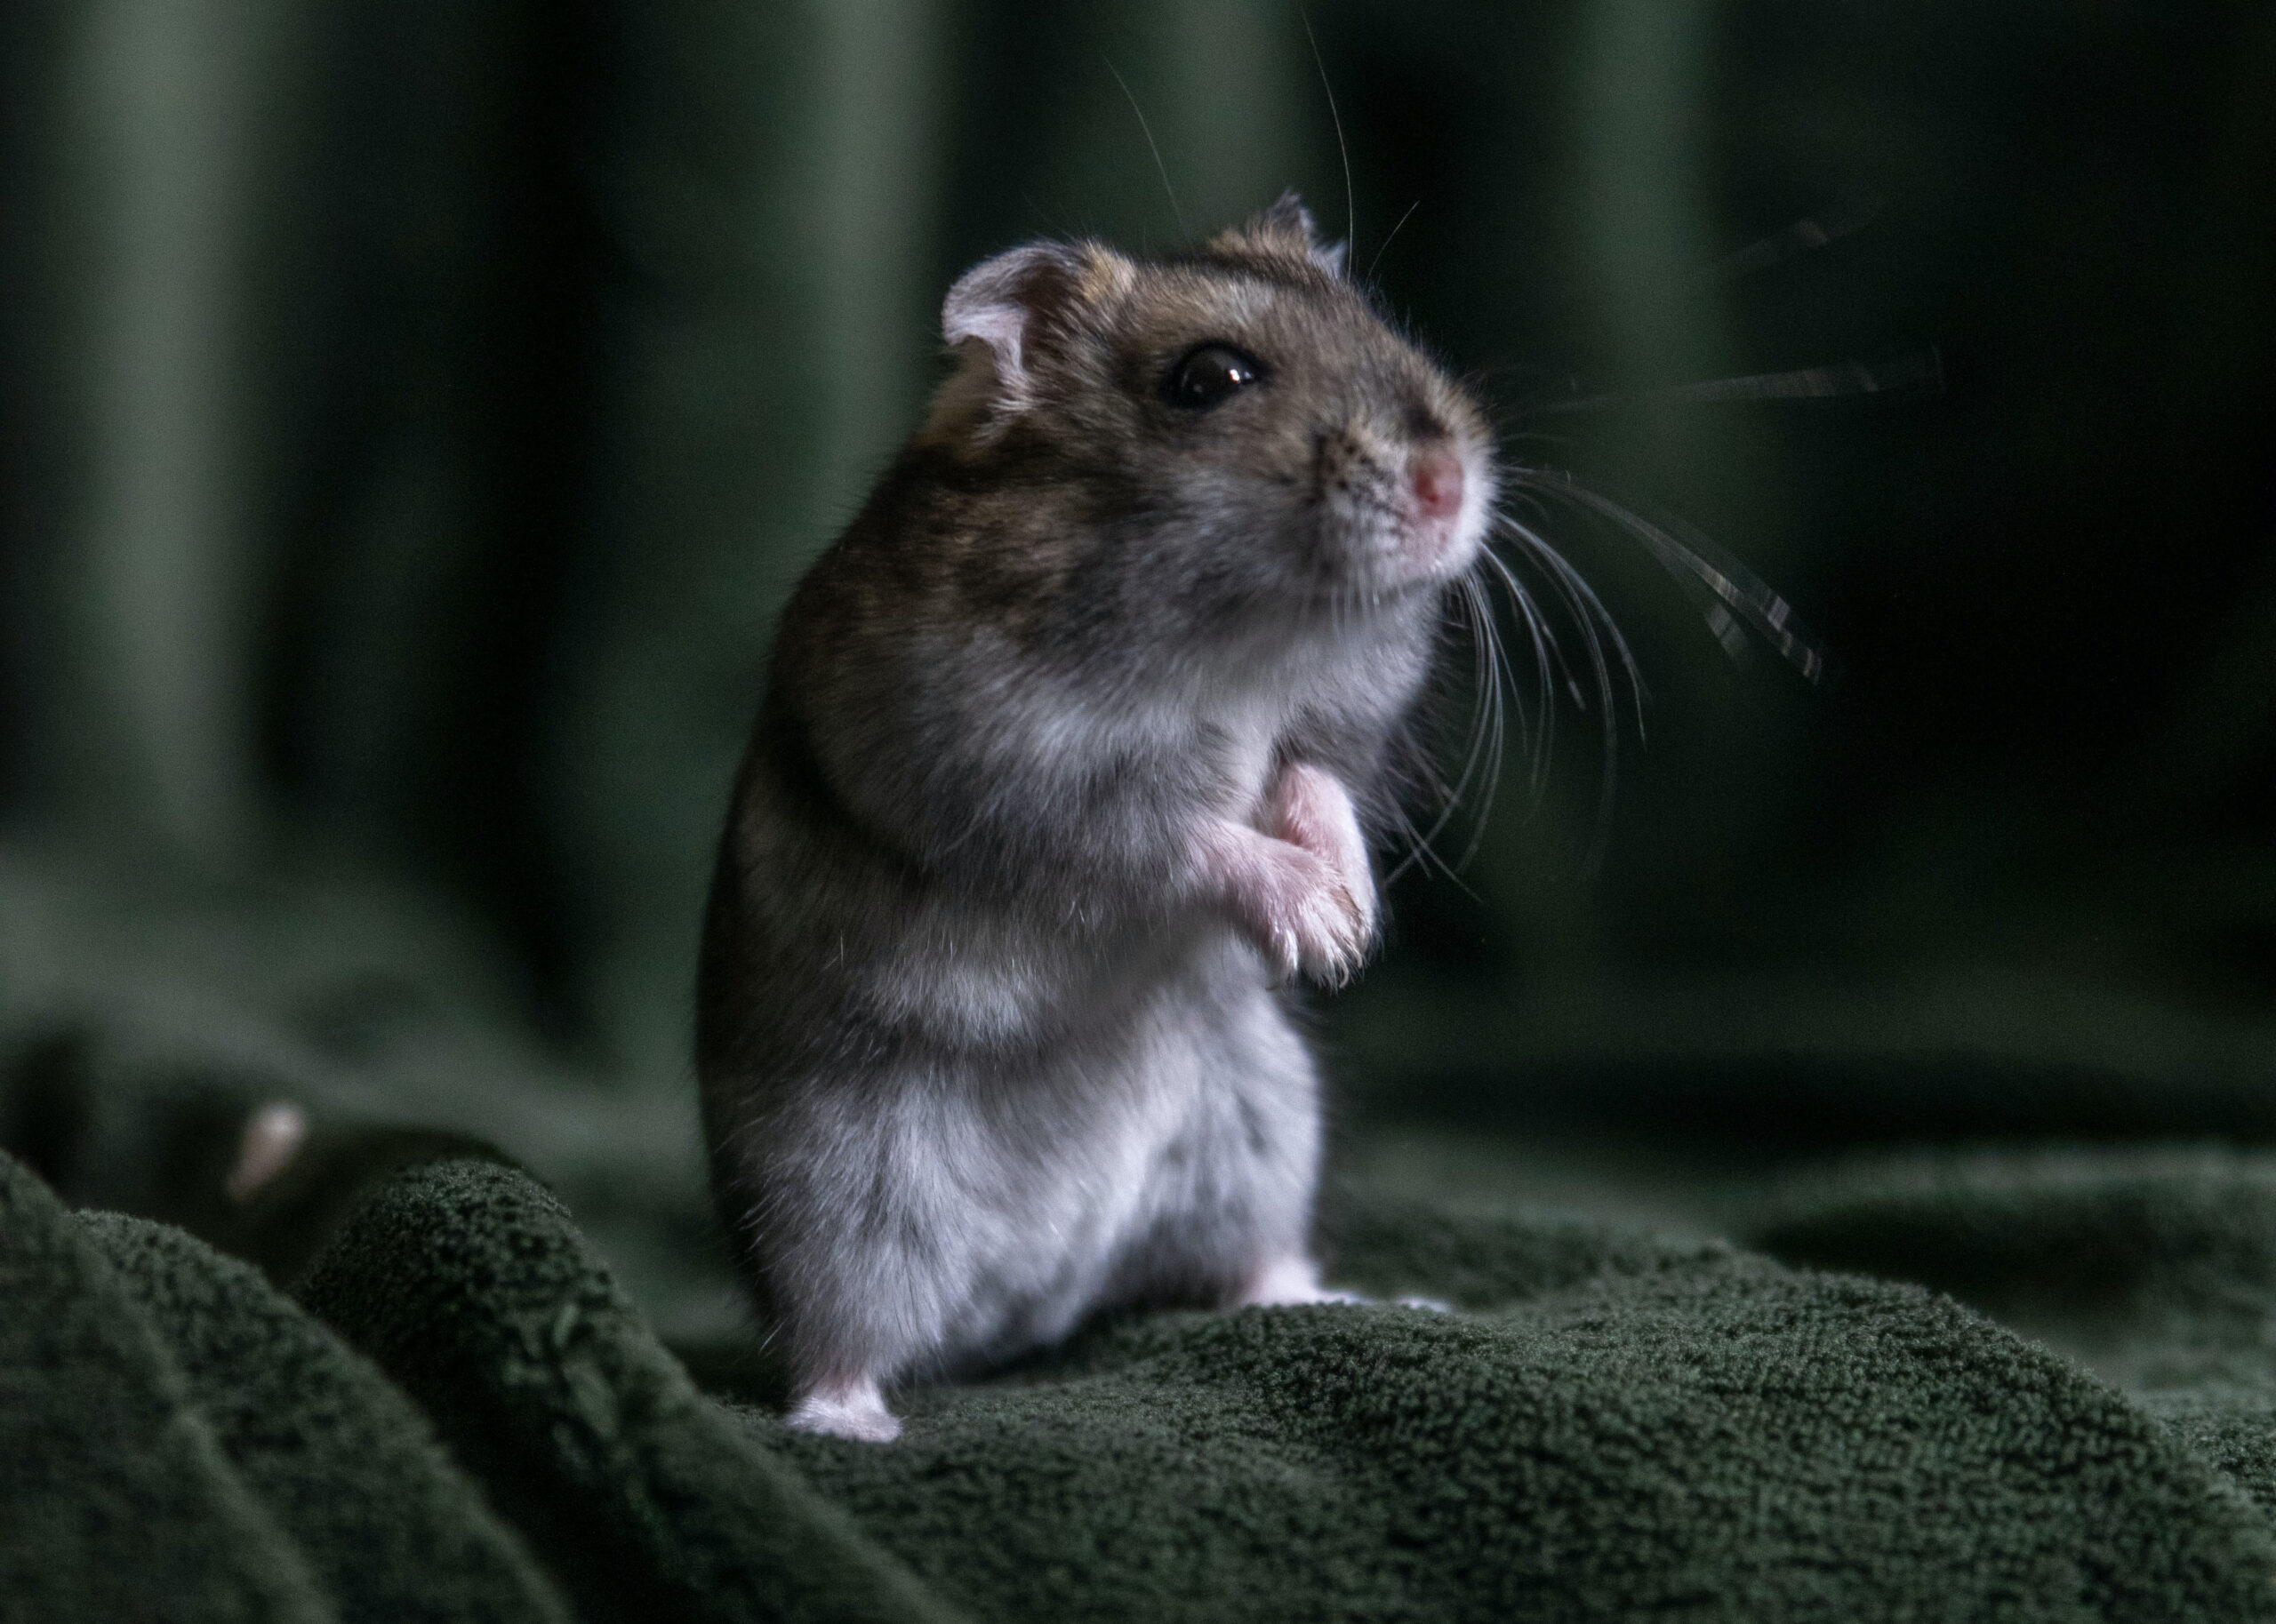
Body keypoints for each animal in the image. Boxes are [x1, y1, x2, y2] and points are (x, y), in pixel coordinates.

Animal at [697, 194, 1495, 1442]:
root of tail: (1036, 1301)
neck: (1242, 640)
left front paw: (1351, 927)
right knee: (836, 1341)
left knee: (1258, 1267)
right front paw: (1319, 926)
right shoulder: (1016, 778)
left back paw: (1379, 1304)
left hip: (1264, 1124)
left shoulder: (1326, 730)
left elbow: (1311, 785)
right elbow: (1182, 836)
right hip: (832, 1200)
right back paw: (851, 1427)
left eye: (1377, 323)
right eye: (1207, 379)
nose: (1450, 488)